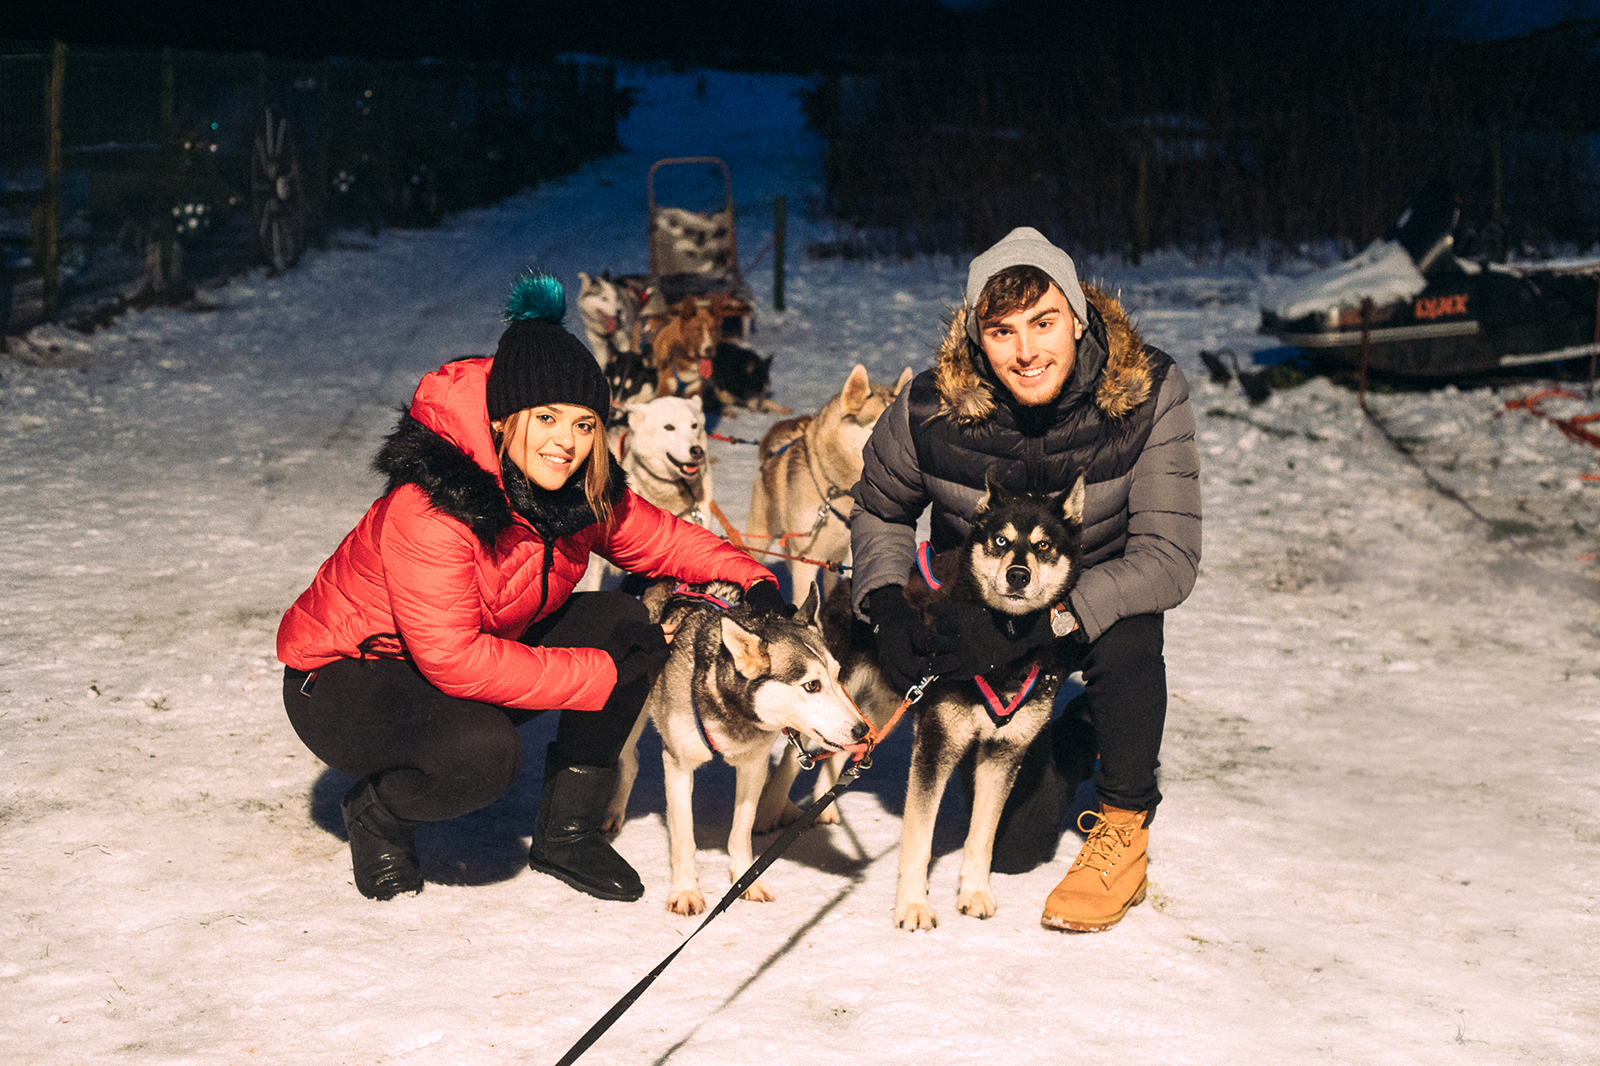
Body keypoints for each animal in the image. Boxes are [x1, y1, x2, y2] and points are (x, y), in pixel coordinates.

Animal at [604, 582, 870, 915]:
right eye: (812, 685)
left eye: (836, 675)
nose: (862, 730)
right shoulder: (679, 766)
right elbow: (684, 838)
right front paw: (685, 890)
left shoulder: (752, 766)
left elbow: (741, 831)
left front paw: (746, 881)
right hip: (629, 721)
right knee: (631, 759)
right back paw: (613, 812)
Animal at [825, 476, 1088, 928]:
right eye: (1001, 540)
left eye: (1043, 545)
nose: (1018, 575)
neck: (1002, 648)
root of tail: (849, 582)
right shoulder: (935, 747)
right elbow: (919, 839)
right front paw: (913, 905)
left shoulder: (1003, 754)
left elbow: (982, 837)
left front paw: (975, 893)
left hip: (871, 716)